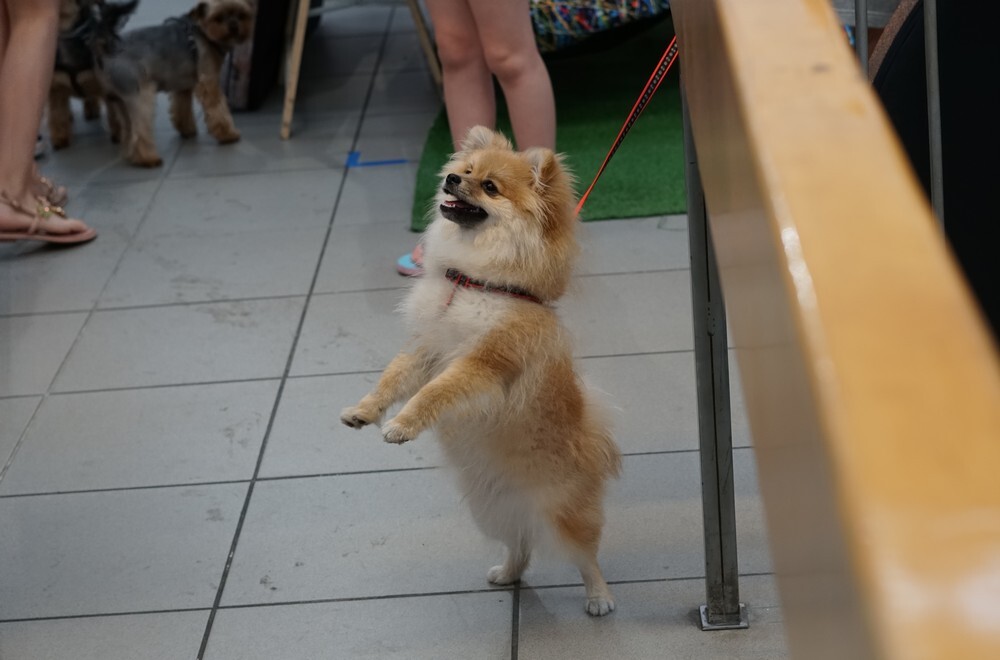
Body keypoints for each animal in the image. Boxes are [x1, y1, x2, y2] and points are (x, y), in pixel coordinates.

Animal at [95, 0, 256, 168]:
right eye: (218, 18)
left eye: (241, 15)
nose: (234, 26)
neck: (203, 32)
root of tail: (108, 48)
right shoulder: (208, 81)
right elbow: (219, 109)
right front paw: (228, 134)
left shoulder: (183, 86)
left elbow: (182, 108)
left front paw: (187, 129)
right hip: (139, 95)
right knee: (140, 129)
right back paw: (147, 158)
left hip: (119, 101)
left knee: (127, 128)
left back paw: (130, 154)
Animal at [340, 126, 620, 616]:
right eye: (466, 171)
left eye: (490, 187)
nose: (451, 179)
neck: (473, 281)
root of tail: (592, 438)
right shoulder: (426, 347)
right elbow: (392, 378)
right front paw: (365, 410)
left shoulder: (483, 361)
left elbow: (434, 393)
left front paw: (401, 425)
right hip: (490, 513)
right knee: (521, 544)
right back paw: (507, 573)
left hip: (564, 513)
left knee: (586, 556)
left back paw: (599, 598)